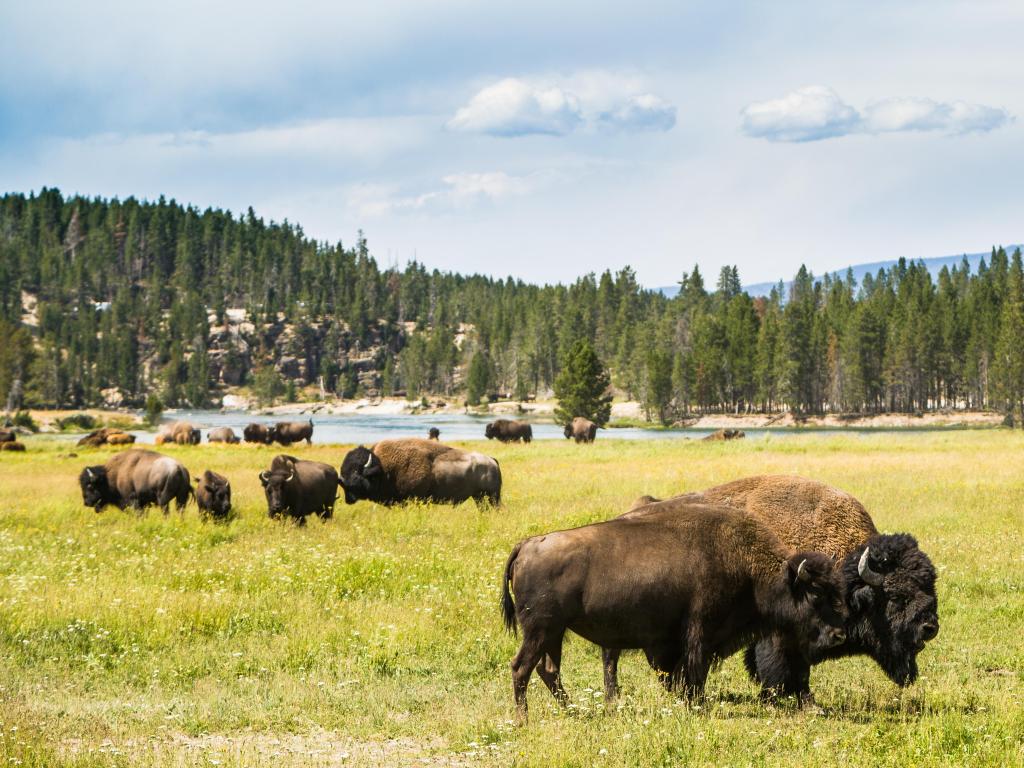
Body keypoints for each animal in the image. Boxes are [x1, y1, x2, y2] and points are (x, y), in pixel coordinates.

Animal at [339, 436, 499, 507]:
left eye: (357, 476)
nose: (348, 499)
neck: (383, 468)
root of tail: (491, 460)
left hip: (491, 496)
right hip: (479, 497)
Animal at [501, 499, 847, 720]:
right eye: (816, 594)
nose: (839, 634)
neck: (751, 568)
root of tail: (526, 545)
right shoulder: (700, 633)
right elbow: (695, 671)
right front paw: (698, 705)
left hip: (554, 633)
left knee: (548, 670)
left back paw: (573, 711)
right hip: (540, 630)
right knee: (521, 667)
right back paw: (523, 719)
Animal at [618, 479, 937, 708]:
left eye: (930, 587)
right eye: (896, 596)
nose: (930, 627)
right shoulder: (782, 635)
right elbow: (787, 667)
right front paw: (799, 702)